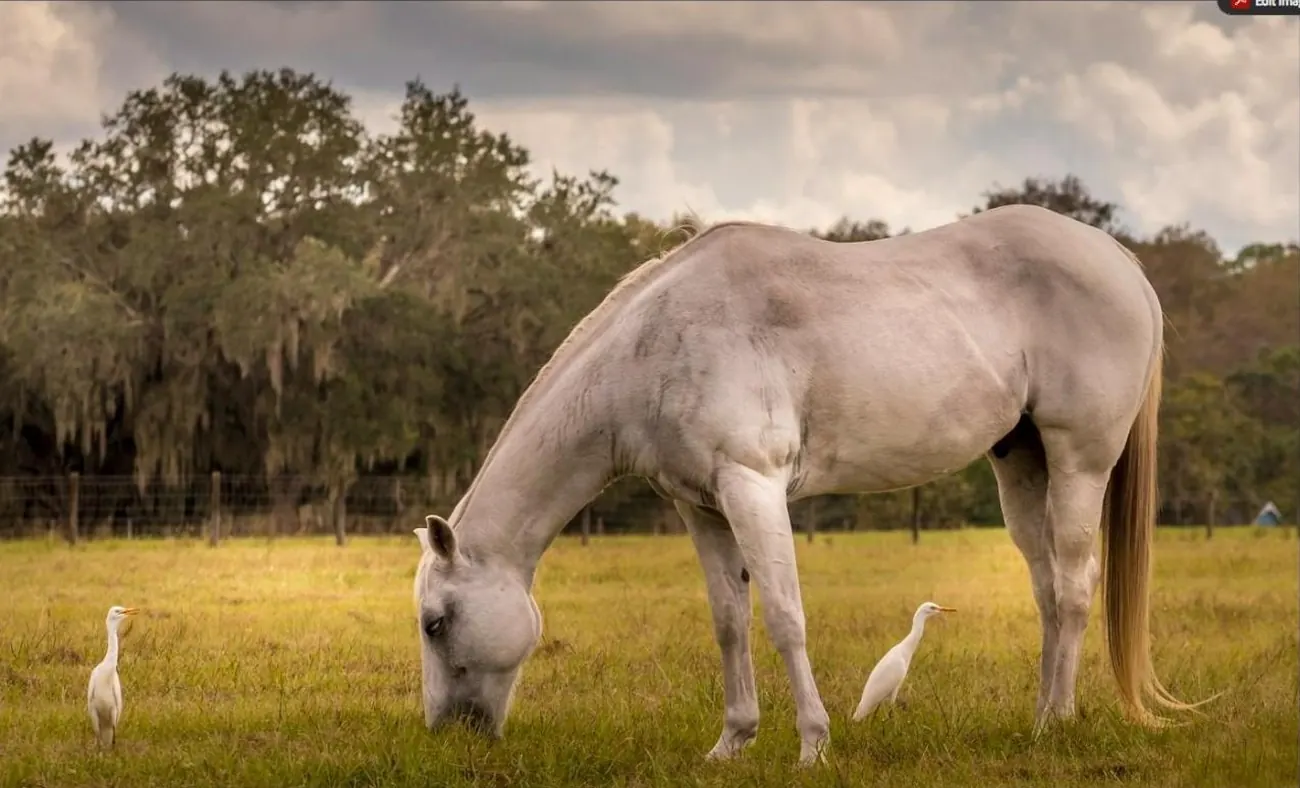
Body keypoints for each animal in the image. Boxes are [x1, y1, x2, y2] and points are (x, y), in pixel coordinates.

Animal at [411, 204, 1199, 766]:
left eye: (434, 622)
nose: (446, 734)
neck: (657, 341)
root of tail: (1120, 260)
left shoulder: (751, 488)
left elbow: (785, 617)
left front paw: (813, 743)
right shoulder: (701, 507)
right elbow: (729, 622)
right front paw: (732, 742)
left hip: (1079, 462)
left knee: (1074, 586)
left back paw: (1054, 725)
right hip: (1022, 464)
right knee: (1046, 591)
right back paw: (1038, 717)